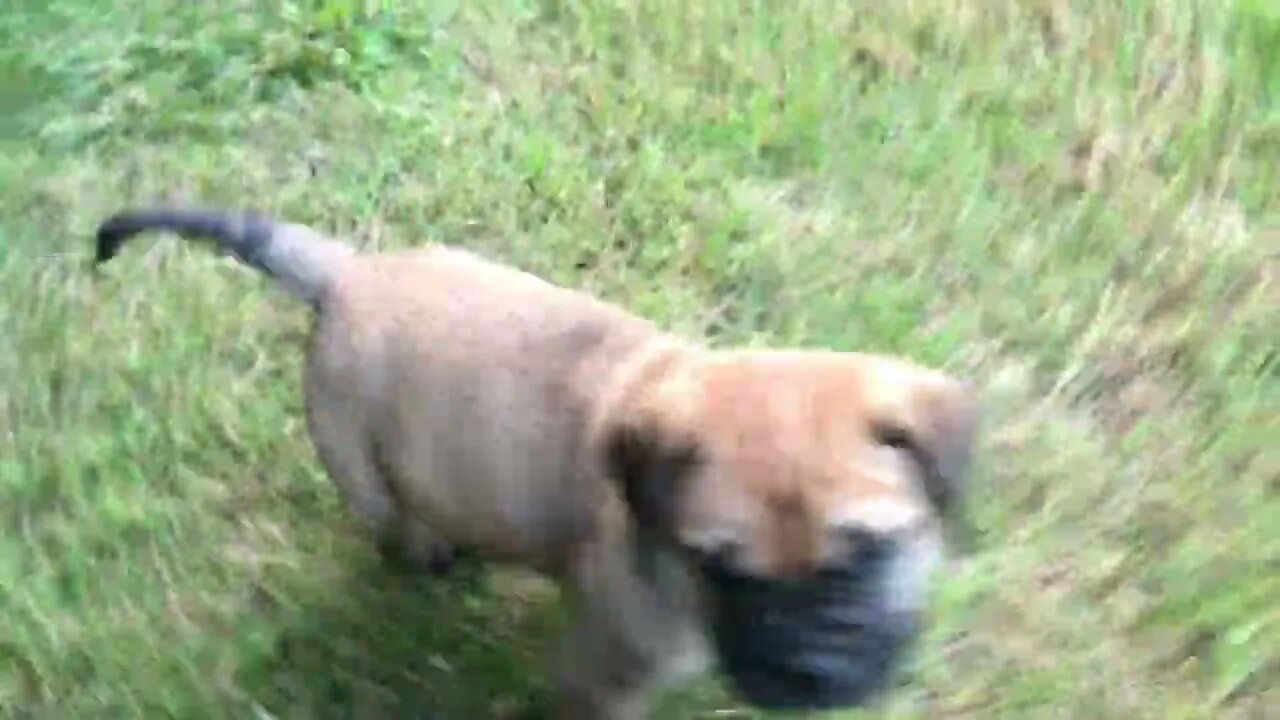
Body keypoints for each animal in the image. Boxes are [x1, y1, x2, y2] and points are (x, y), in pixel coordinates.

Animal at [94, 204, 983, 712]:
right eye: (719, 569)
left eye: (870, 553)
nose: (807, 674)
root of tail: (348, 275)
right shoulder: (603, 678)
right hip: (360, 462)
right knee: (394, 521)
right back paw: (431, 557)